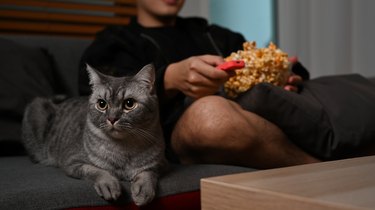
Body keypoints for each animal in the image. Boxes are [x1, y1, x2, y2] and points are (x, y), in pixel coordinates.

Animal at [20, 63, 167, 205]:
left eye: (129, 103)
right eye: (102, 104)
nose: (112, 118)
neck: (124, 149)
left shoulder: (161, 165)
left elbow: (148, 173)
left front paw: (144, 189)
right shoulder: (72, 162)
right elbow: (96, 171)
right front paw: (109, 184)